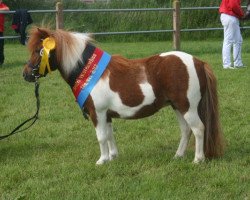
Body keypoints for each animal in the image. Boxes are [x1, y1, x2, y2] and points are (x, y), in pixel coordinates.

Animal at [22, 27, 224, 165]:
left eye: (38, 51)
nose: (26, 75)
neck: (89, 72)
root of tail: (198, 62)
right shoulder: (107, 115)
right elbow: (110, 135)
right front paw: (112, 157)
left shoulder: (98, 113)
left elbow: (101, 136)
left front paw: (102, 160)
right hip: (177, 107)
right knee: (186, 130)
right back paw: (178, 155)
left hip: (187, 107)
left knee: (198, 129)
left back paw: (198, 159)